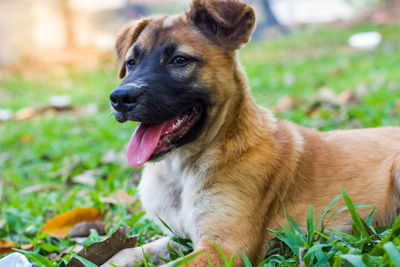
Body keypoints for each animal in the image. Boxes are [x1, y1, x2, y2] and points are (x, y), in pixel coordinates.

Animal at [104, 1, 400, 266]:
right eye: (131, 62)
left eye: (179, 60)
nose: (119, 99)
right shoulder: (181, 237)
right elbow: (125, 254)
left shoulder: (225, 248)